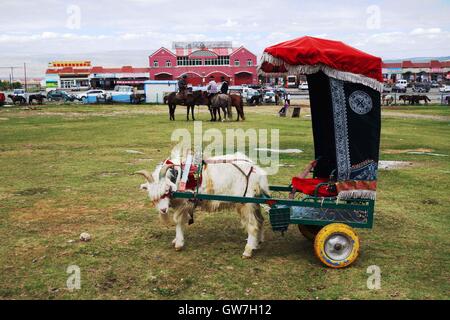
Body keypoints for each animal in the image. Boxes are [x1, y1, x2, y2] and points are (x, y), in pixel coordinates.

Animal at [137, 152, 268, 258]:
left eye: (166, 190)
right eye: (152, 197)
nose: (163, 210)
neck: (178, 177)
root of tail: (255, 170)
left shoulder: (184, 204)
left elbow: (179, 222)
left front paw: (178, 243)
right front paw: (176, 240)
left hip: (246, 203)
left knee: (253, 224)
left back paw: (248, 250)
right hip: (255, 202)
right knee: (260, 220)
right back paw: (258, 242)